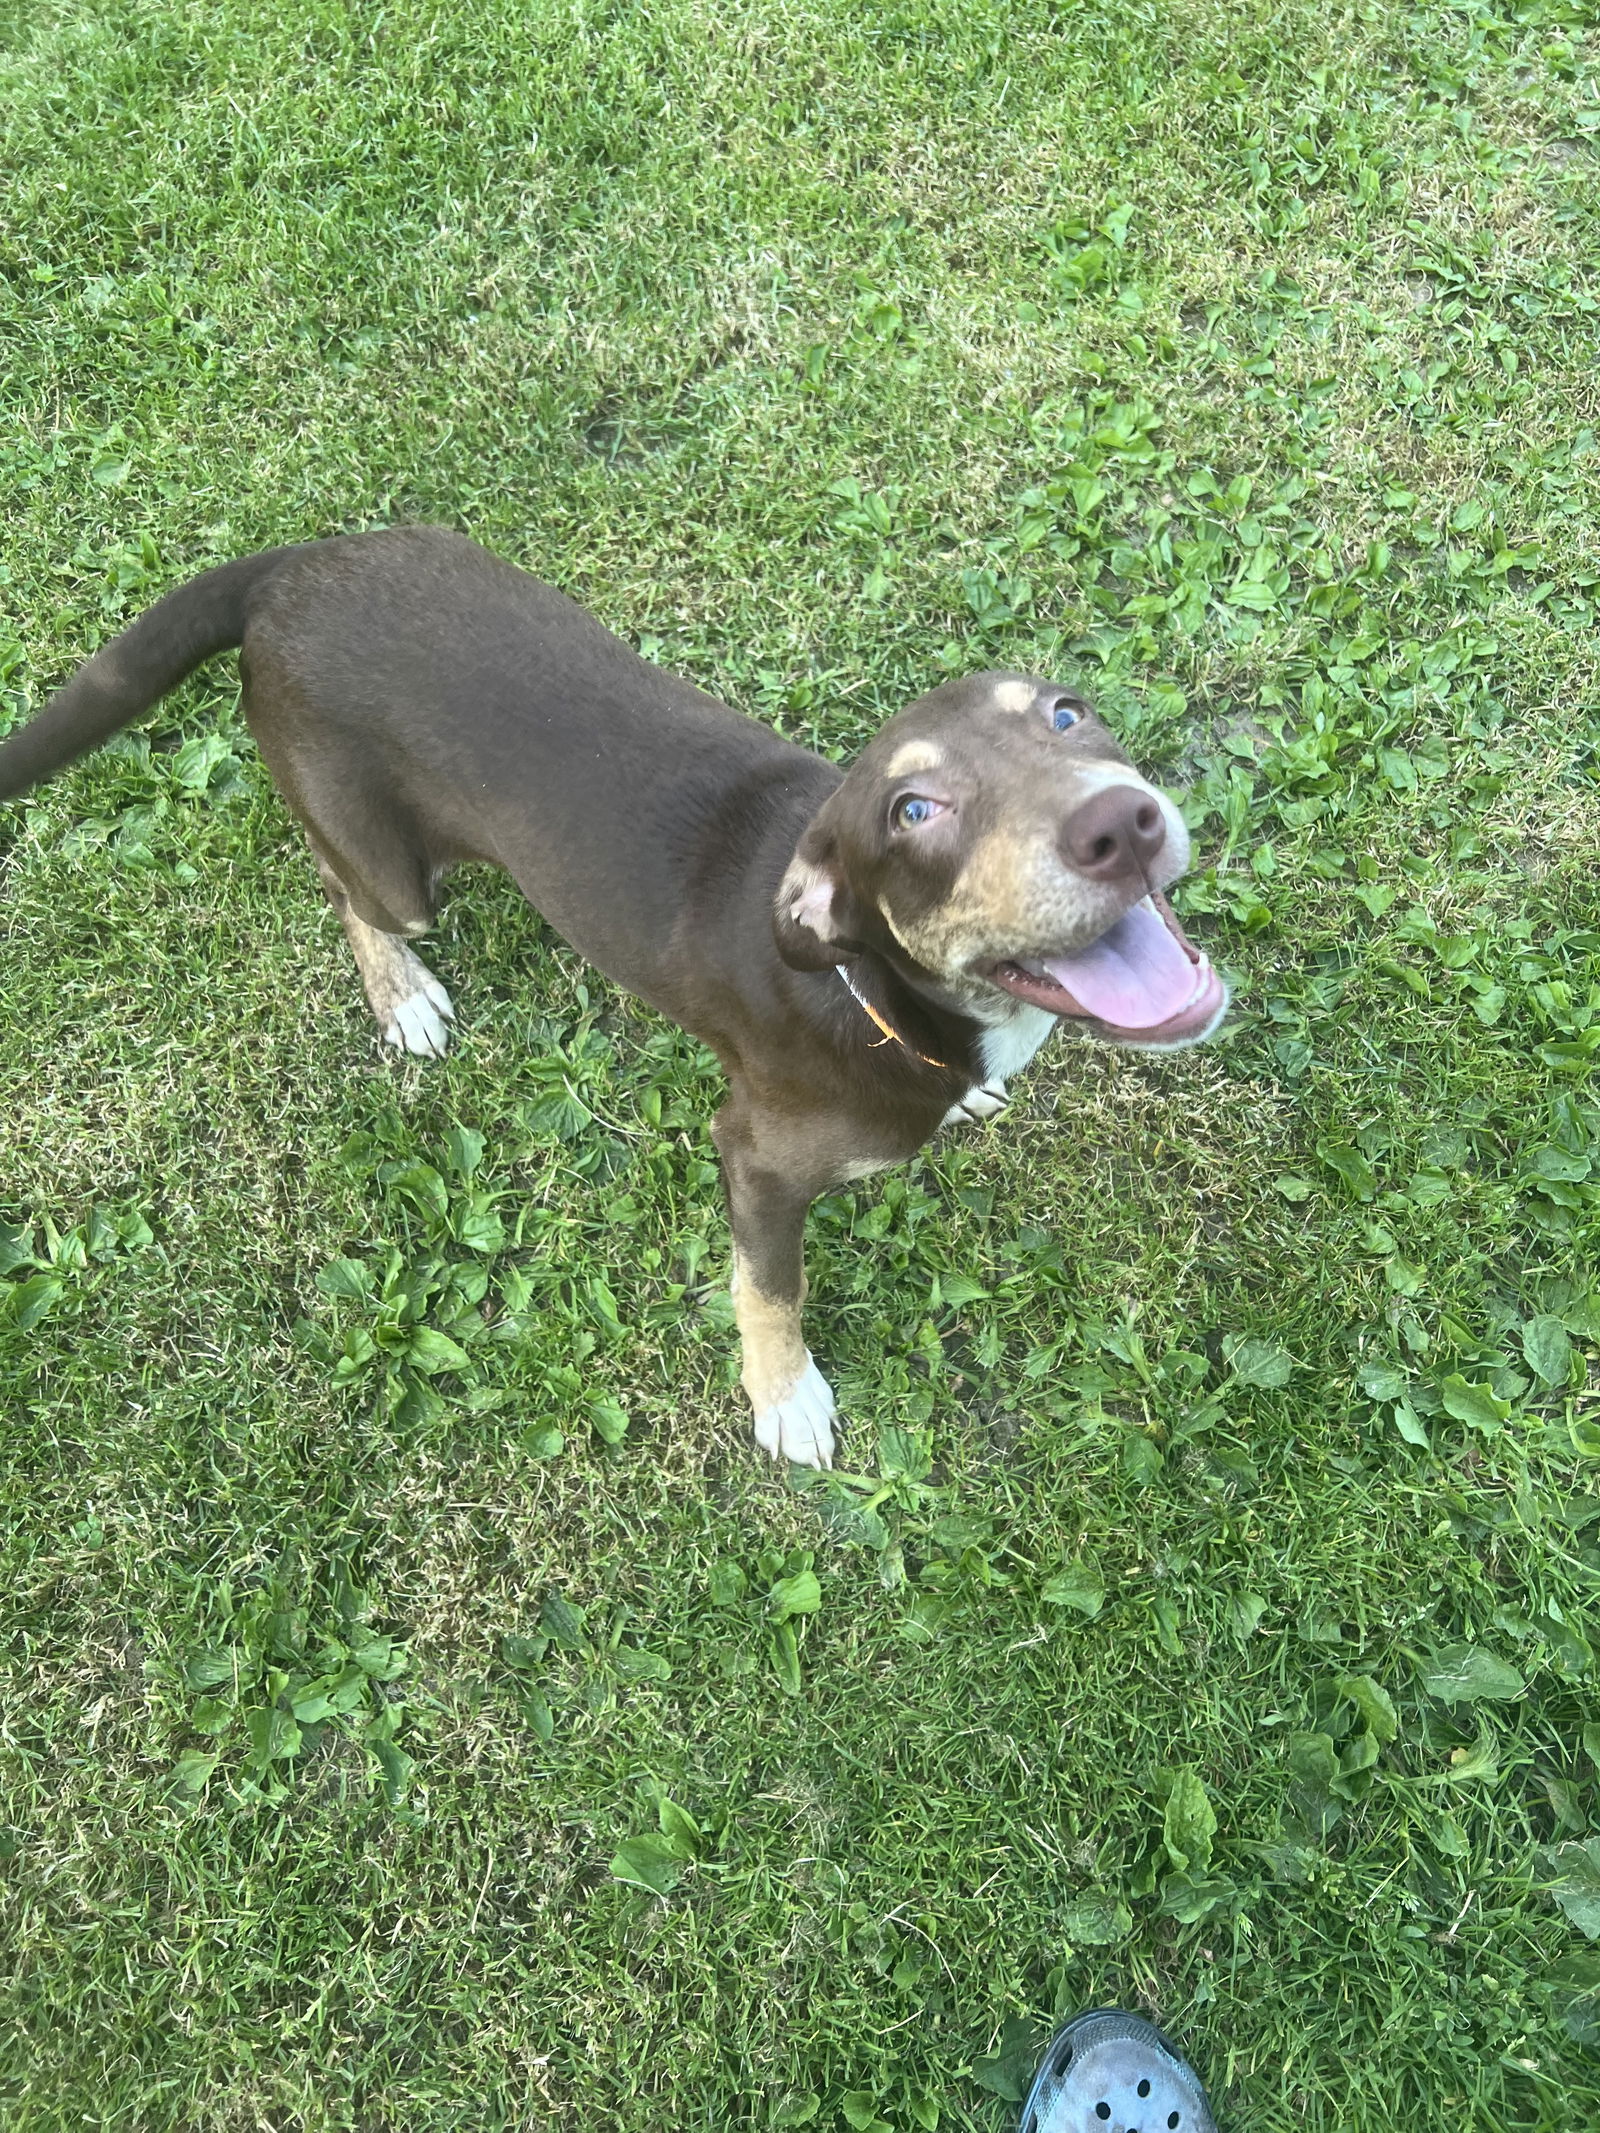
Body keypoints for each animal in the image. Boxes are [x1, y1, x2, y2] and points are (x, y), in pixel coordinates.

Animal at [0, 528, 1228, 1467]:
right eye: (913, 812)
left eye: (1066, 712)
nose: (1122, 824)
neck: (876, 992)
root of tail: (288, 571)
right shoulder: (755, 1163)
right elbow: (768, 1292)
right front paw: (786, 1400)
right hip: (394, 872)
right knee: (351, 895)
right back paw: (402, 996)